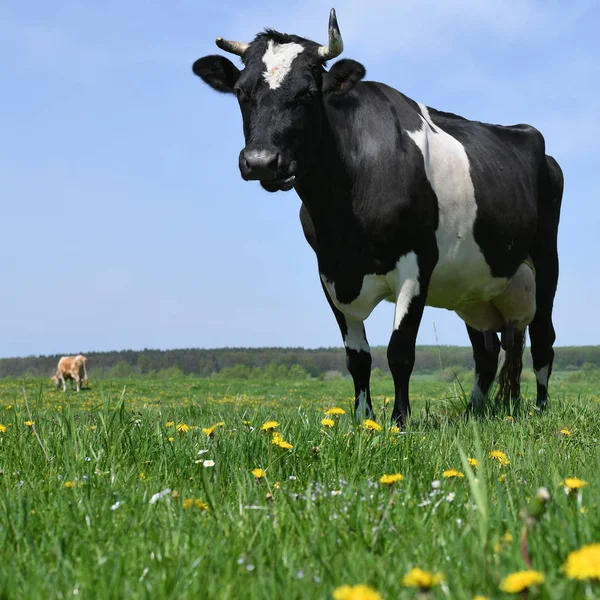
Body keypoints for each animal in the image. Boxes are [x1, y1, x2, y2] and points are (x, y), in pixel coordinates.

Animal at [192, 8, 564, 422]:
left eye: (308, 93)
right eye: (242, 93)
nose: (260, 162)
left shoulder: (417, 265)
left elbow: (400, 353)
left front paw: (400, 422)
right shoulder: (329, 273)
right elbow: (358, 359)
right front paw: (362, 420)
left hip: (546, 260)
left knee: (543, 341)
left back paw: (542, 409)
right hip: (474, 288)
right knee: (488, 351)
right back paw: (474, 411)